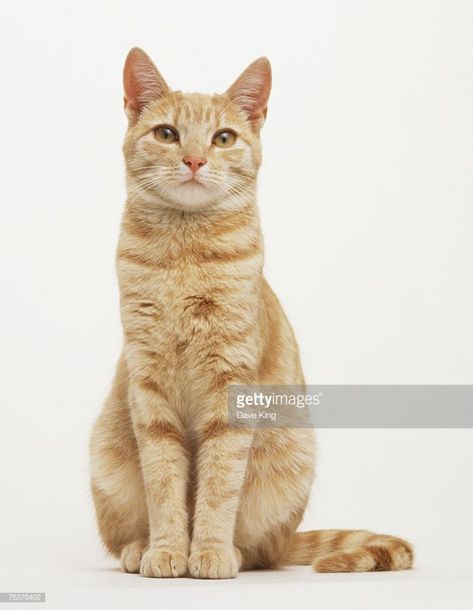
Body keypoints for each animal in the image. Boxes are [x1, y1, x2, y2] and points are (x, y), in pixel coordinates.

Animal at [89, 47, 412, 576]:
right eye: (167, 134)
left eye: (223, 138)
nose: (194, 159)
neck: (185, 257)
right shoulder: (148, 387)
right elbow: (164, 483)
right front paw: (168, 550)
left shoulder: (231, 385)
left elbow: (219, 484)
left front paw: (210, 552)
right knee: (123, 539)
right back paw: (139, 548)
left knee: (263, 551)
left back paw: (236, 552)